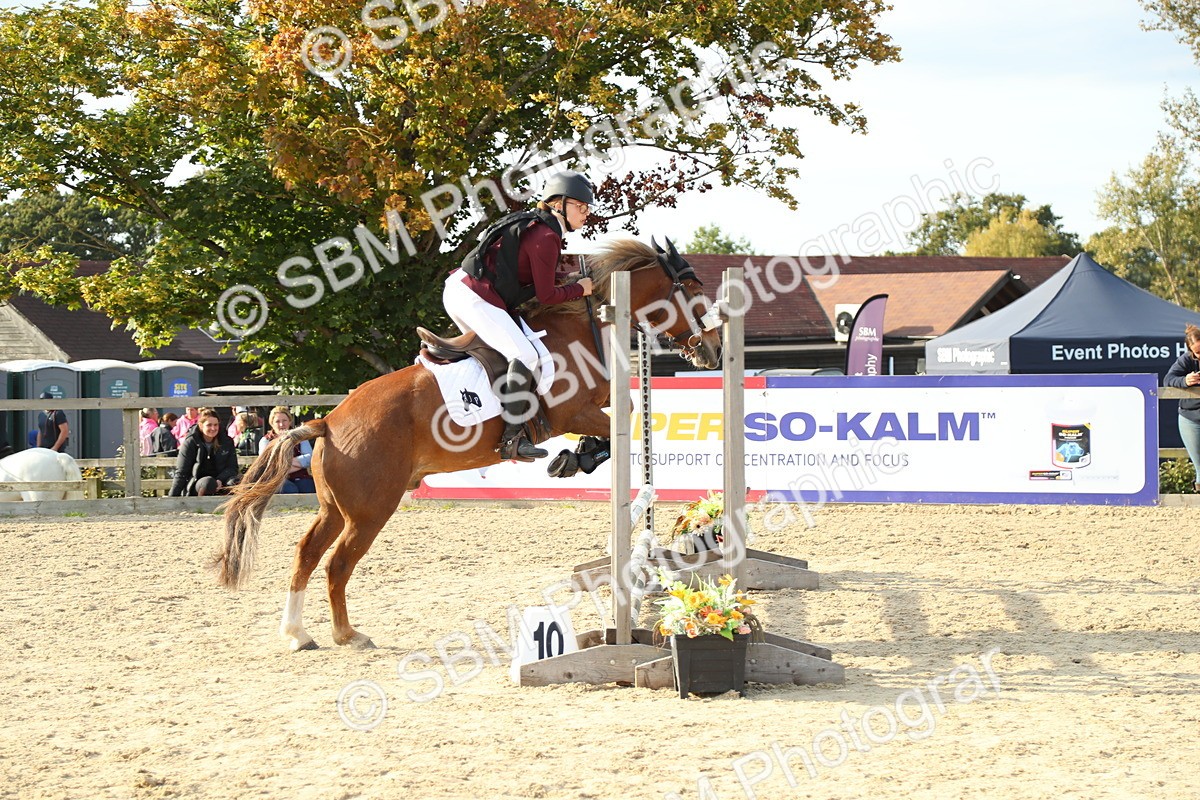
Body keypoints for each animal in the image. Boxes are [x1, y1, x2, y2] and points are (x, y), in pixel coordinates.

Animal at [216, 237, 723, 651]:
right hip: (370, 510)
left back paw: (297, 633)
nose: (714, 351)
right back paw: (347, 635)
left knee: (306, 554)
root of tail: (327, 422)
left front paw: (574, 457)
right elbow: (625, 419)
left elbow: (628, 413)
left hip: (335, 508)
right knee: (337, 564)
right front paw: (577, 458)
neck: (584, 327)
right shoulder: (573, 411)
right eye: (692, 290)